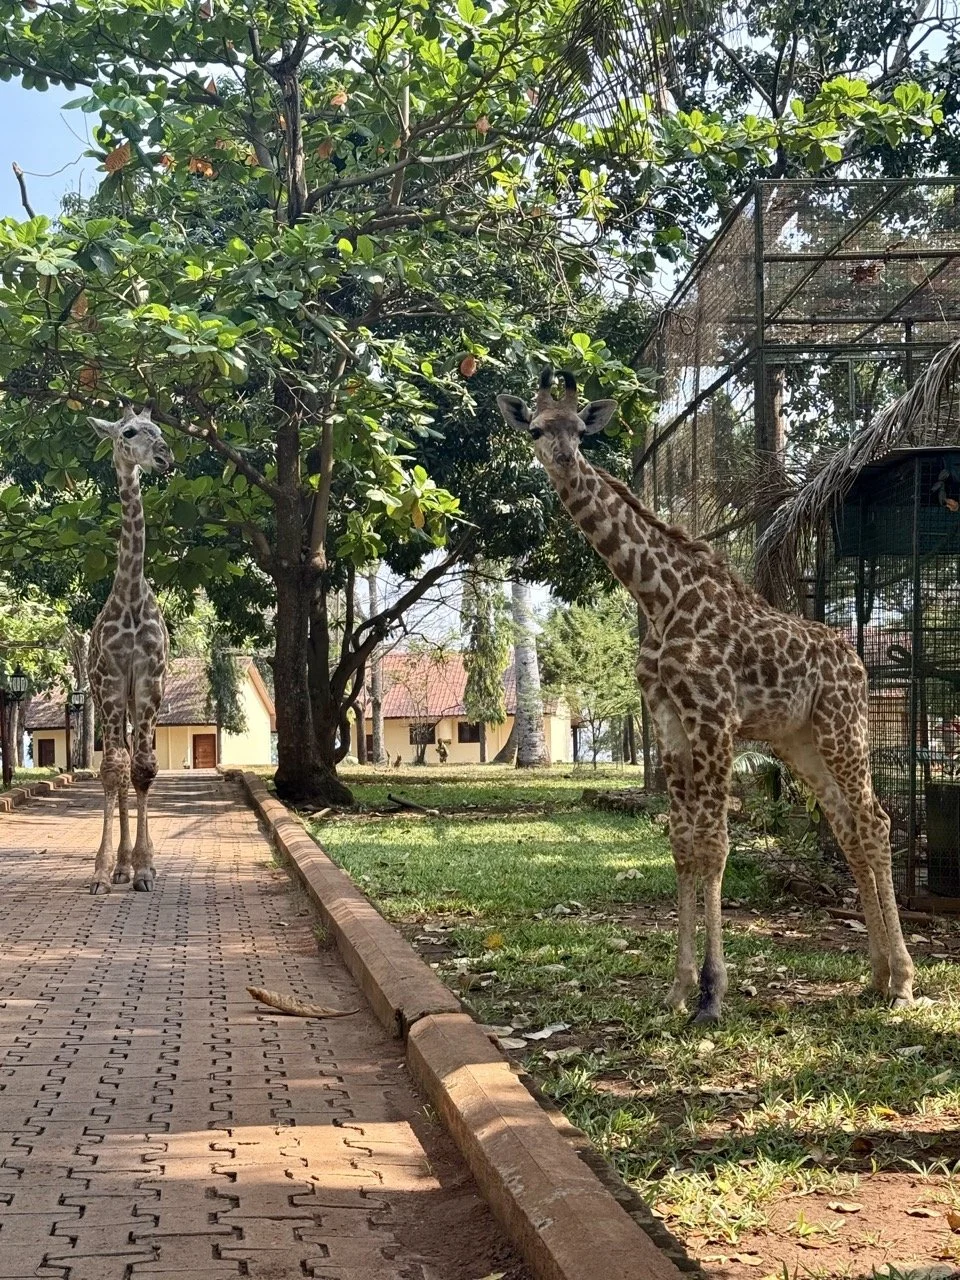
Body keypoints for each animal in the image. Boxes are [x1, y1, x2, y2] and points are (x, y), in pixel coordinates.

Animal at [497, 368, 914, 1023]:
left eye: (580, 432)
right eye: (536, 429)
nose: (563, 459)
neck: (655, 597)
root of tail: (855, 659)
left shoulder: (713, 715)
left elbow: (715, 846)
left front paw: (713, 995)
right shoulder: (669, 718)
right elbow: (683, 845)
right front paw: (676, 989)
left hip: (842, 727)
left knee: (874, 820)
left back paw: (902, 981)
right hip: (799, 741)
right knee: (849, 826)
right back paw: (874, 976)